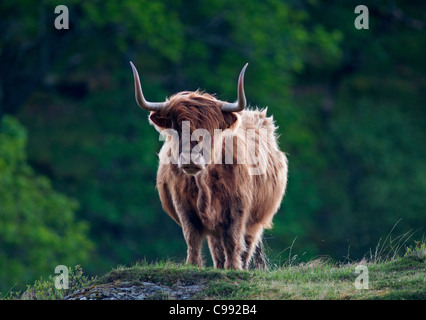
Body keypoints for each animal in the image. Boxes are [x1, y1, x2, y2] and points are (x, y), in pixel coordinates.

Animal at [130, 61, 288, 268]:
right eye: (177, 126)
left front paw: (233, 268)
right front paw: (193, 265)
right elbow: (192, 238)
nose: (191, 160)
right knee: (217, 247)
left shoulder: (239, 205)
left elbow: (233, 240)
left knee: (246, 244)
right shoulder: (183, 204)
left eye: (211, 129)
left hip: (256, 220)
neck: (204, 184)